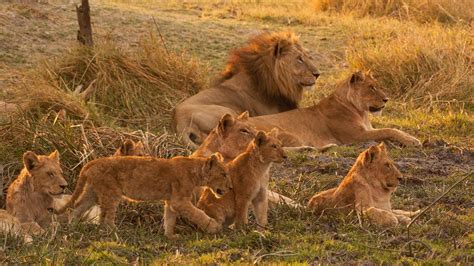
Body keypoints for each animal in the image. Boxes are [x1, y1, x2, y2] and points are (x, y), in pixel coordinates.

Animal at [56, 153, 232, 238]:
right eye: (223, 174)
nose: (230, 187)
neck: (196, 172)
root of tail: (91, 162)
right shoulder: (179, 201)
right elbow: (198, 213)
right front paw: (213, 227)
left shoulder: (172, 201)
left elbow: (169, 218)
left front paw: (170, 236)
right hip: (111, 193)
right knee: (107, 217)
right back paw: (115, 232)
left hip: (93, 192)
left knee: (78, 207)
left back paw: (72, 227)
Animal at [246, 71, 420, 148]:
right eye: (371, 88)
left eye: (377, 86)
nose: (386, 99)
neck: (361, 112)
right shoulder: (355, 136)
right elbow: (388, 130)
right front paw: (413, 141)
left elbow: (393, 129)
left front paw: (409, 137)